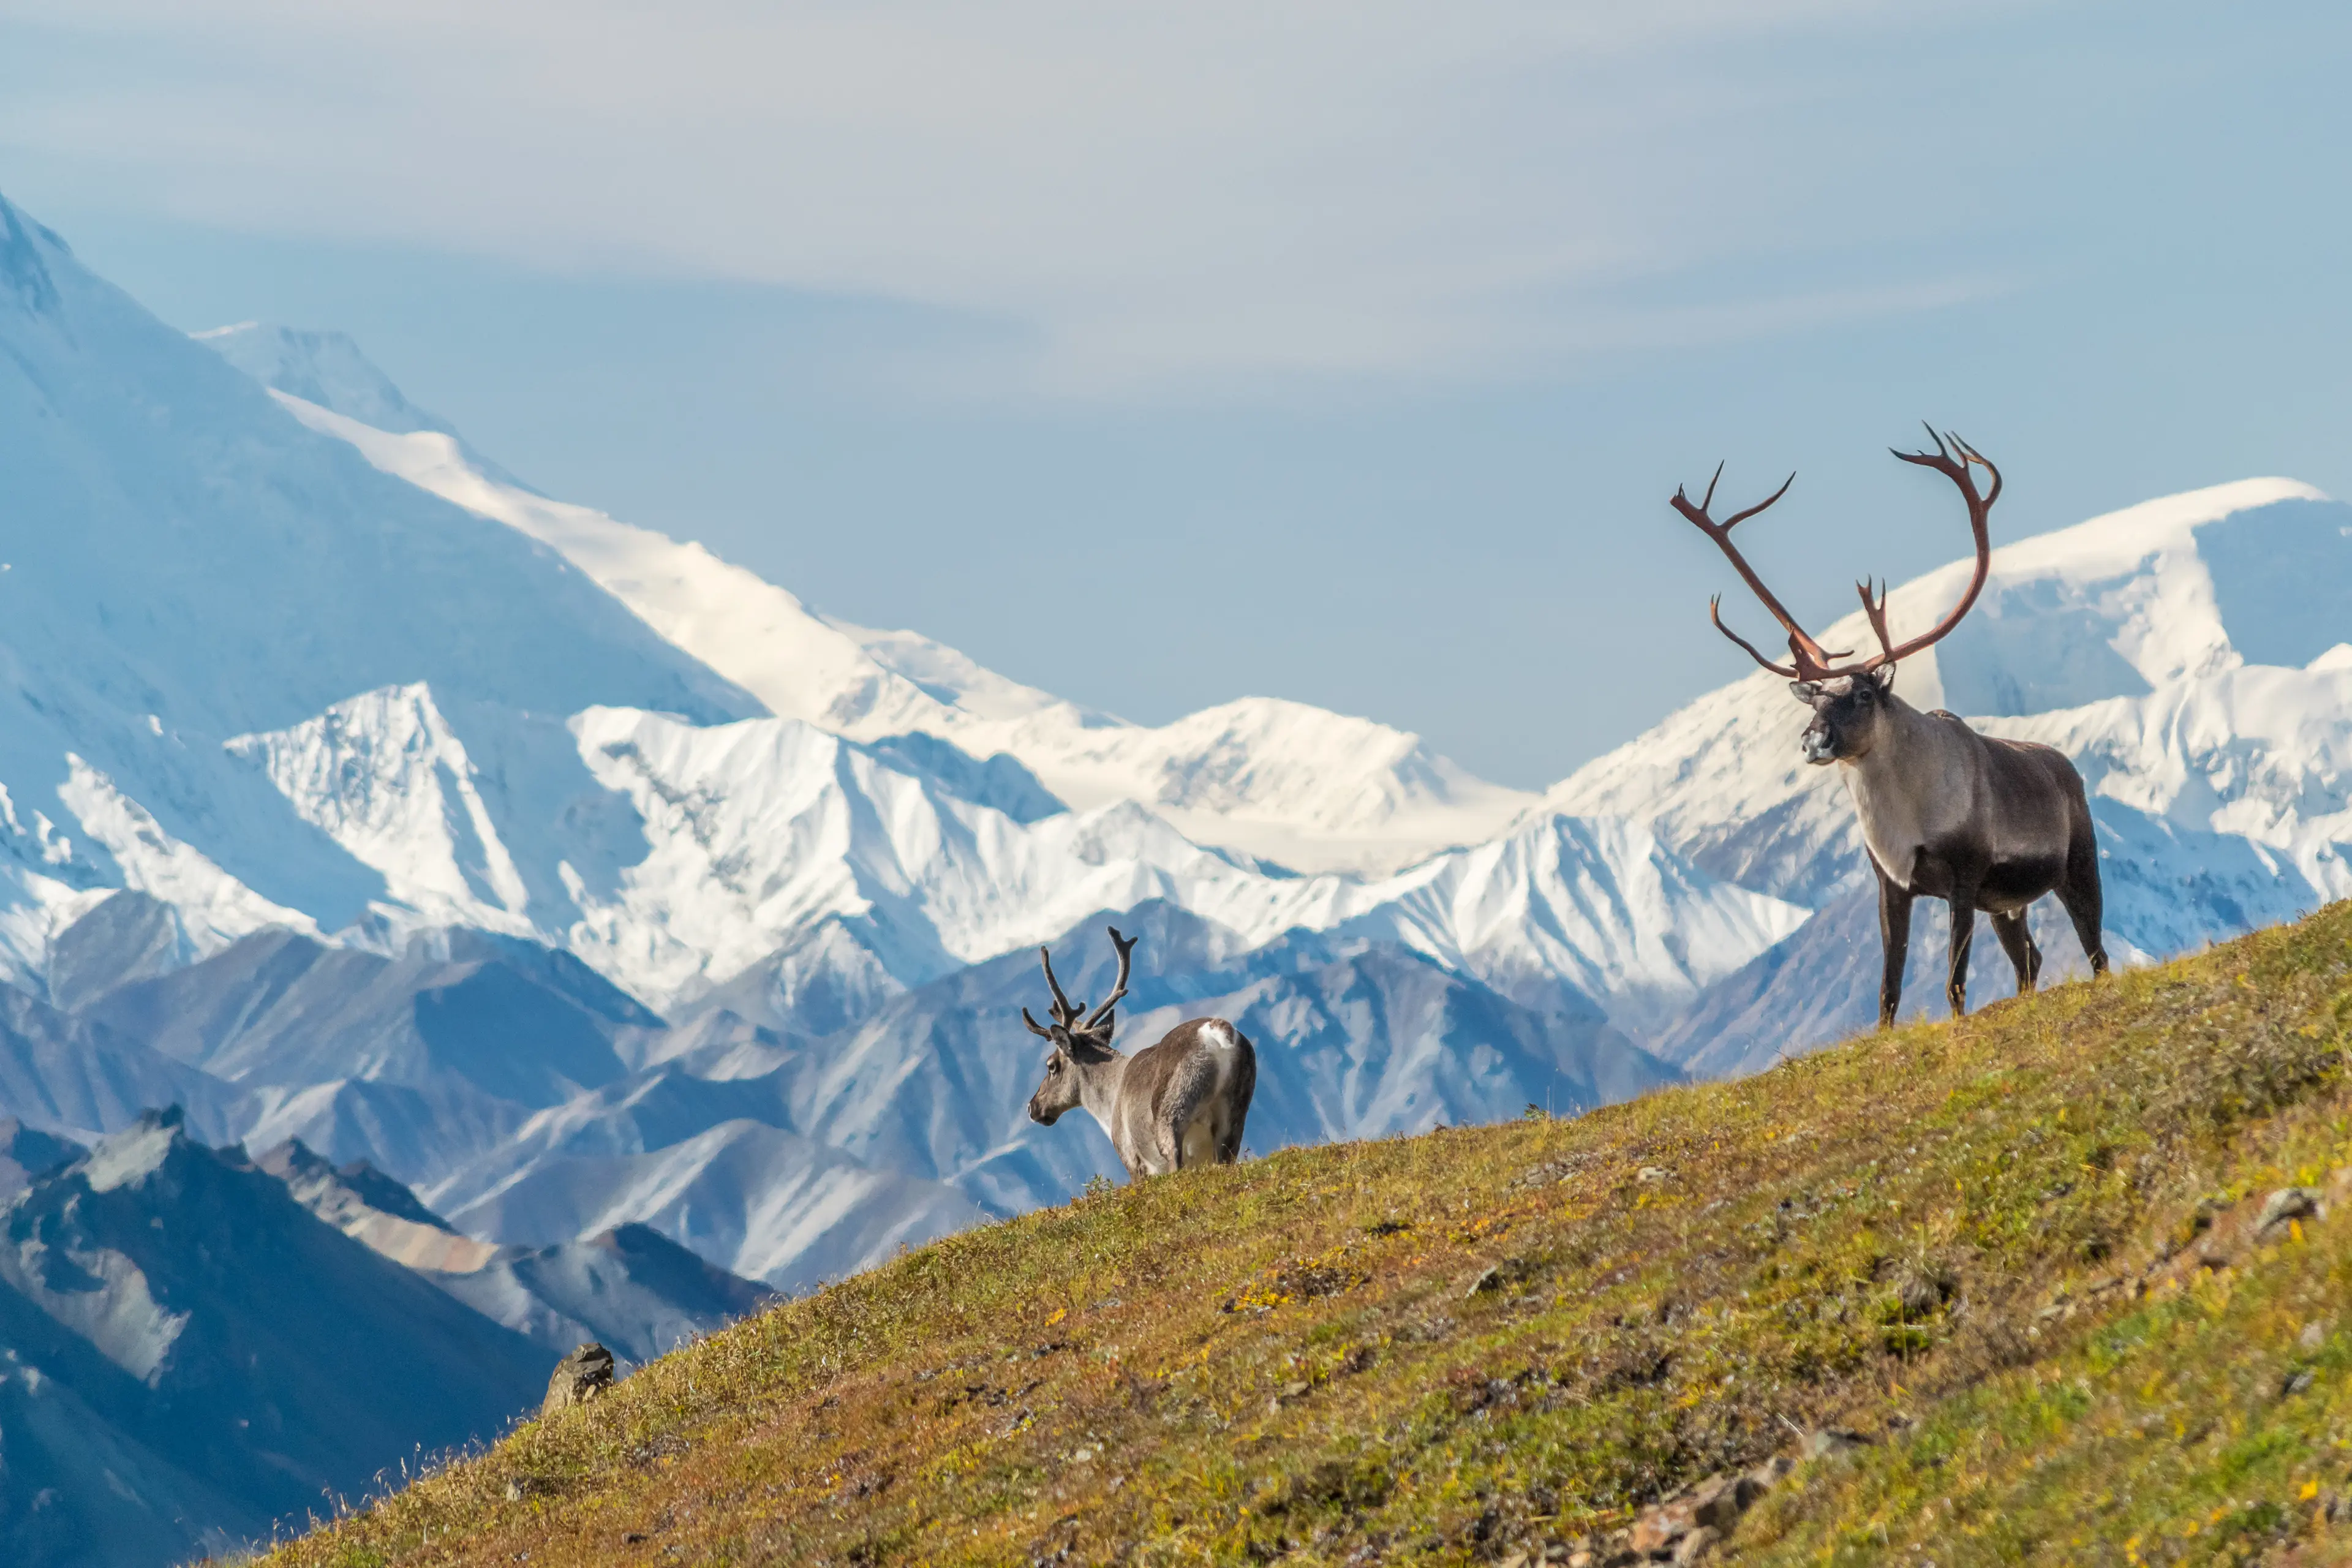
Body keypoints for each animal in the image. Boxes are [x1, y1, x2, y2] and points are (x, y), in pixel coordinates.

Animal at [1675, 425, 2117, 1030]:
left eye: (1863, 694)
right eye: (1815, 700)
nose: (1812, 740)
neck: (1904, 821)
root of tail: (2066, 768)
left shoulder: (1964, 878)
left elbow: (1954, 983)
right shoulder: (1892, 886)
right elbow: (1888, 989)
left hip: (2076, 866)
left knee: (2097, 952)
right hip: (2008, 903)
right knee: (2031, 958)